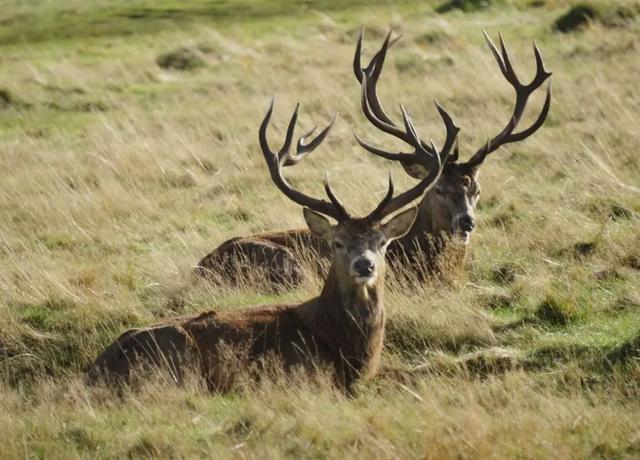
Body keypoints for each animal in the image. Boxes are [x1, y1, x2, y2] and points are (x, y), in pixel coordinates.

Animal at [89, 97, 450, 392]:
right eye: (337, 243)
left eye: (382, 242)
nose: (365, 264)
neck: (347, 349)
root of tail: (93, 370)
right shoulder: (300, 373)